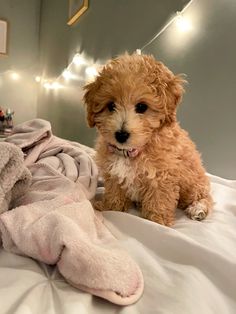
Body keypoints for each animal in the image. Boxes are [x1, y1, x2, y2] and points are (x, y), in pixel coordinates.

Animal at [84, 53, 213, 226]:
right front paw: (110, 207)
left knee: (204, 196)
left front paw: (157, 221)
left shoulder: (162, 176)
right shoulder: (114, 173)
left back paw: (198, 209)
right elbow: (114, 191)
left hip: (194, 183)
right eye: (111, 106)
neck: (130, 152)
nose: (121, 135)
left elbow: (159, 200)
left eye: (141, 107)